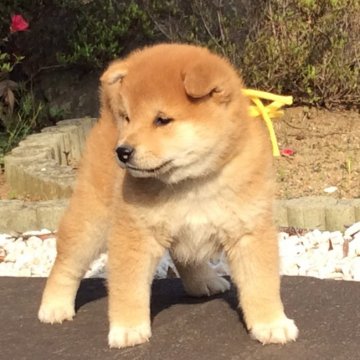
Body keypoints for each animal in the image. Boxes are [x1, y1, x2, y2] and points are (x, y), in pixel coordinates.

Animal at [38, 43, 298, 348]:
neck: (192, 183)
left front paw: (271, 323)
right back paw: (55, 305)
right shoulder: (135, 232)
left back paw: (203, 281)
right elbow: (128, 288)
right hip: (91, 222)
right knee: (66, 262)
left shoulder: (249, 231)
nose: (122, 151)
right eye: (128, 118)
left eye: (162, 120)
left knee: (186, 257)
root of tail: (105, 113)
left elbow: (261, 283)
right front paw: (128, 328)